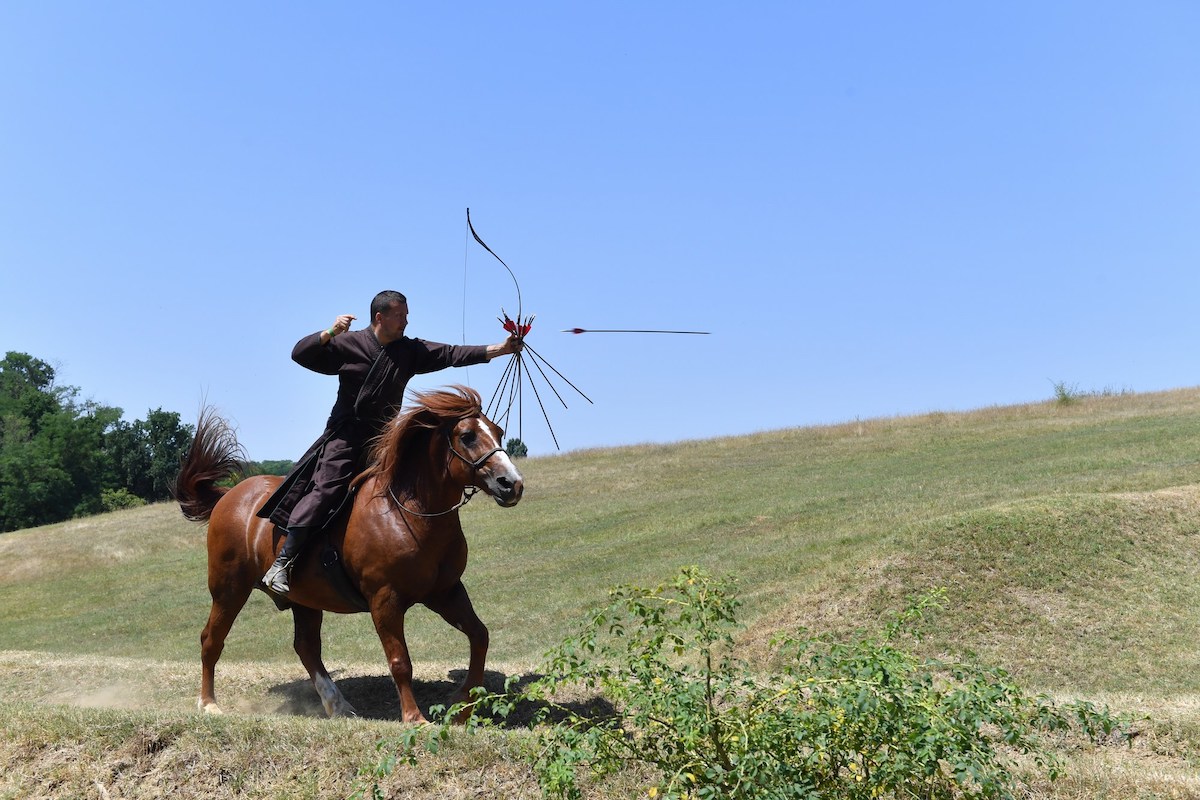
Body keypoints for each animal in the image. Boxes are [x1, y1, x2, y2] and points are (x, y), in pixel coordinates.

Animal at [172, 385, 524, 722]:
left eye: (498, 431)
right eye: (467, 436)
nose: (512, 484)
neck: (408, 512)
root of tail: (228, 496)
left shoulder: (445, 592)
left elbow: (479, 635)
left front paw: (464, 702)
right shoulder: (385, 601)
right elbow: (400, 661)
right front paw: (414, 718)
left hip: (304, 600)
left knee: (306, 648)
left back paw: (337, 705)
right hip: (229, 590)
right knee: (211, 640)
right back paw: (209, 703)